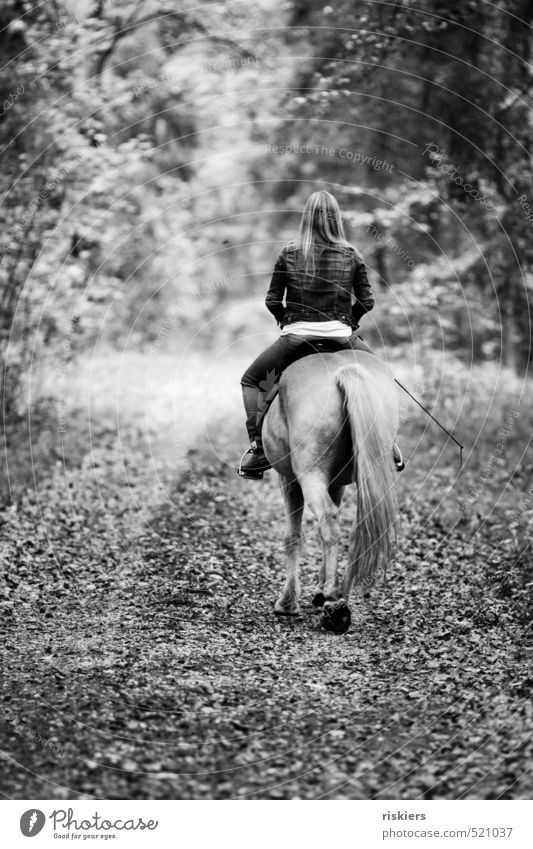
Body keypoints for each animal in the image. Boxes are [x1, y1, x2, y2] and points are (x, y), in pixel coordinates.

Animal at [262, 348, 400, 632]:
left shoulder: (288, 480)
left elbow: (292, 536)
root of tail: (345, 372)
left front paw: (288, 602)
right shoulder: (335, 483)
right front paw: (319, 587)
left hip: (309, 475)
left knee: (328, 520)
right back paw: (338, 598)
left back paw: (334, 604)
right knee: (349, 527)